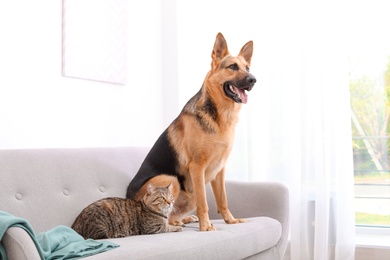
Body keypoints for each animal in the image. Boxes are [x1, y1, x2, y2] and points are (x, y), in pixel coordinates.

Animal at [126, 33, 258, 232]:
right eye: (233, 67)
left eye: (247, 67)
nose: (253, 80)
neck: (220, 116)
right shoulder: (197, 168)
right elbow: (204, 202)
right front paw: (206, 226)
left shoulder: (220, 170)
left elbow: (223, 199)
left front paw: (230, 220)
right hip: (171, 179)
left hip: (188, 195)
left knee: (174, 213)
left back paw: (183, 220)